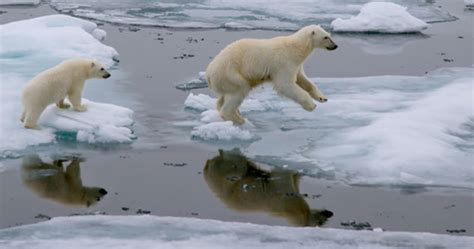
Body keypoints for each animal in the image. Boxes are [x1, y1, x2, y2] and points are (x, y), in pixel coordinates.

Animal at [206, 25, 336, 124]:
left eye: (329, 35)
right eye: (326, 37)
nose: (335, 46)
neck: (296, 47)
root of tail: (208, 73)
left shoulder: (296, 65)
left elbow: (303, 80)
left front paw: (322, 98)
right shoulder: (284, 62)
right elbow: (285, 84)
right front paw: (311, 105)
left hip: (224, 80)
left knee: (224, 97)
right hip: (230, 73)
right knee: (240, 90)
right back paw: (239, 119)